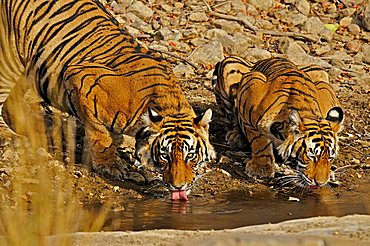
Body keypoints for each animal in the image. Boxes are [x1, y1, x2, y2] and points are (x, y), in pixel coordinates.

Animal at [0, 0, 214, 200]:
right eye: (165, 155)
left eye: (191, 156)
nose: (179, 186)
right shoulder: (81, 79)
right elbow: (100, 134)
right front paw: (111, 165)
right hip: (9, 59)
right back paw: (13, 138)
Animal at [212, 56, 346, 189]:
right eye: (311, 156)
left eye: (330, 157)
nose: (320, 183)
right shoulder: (250, 83)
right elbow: (259, 141)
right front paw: (261, 167)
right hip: (229, 64)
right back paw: (237, 137)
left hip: (320, 71)